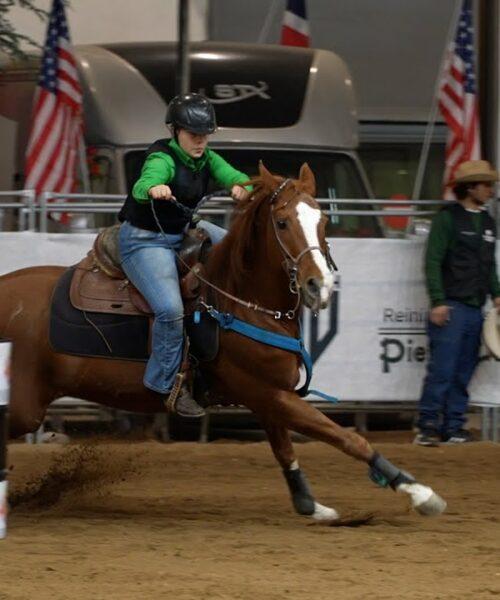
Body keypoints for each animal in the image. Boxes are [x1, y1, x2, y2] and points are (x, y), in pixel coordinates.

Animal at [0, 164, 446, 520]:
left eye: (323, 220)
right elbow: (344, 436)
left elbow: (285, 448)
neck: (236, 300)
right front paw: (419, 491)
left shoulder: (269, 395)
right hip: (25, 406)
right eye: (282, 223)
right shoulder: (268, 392)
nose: (319, 286)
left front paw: (309, 504)